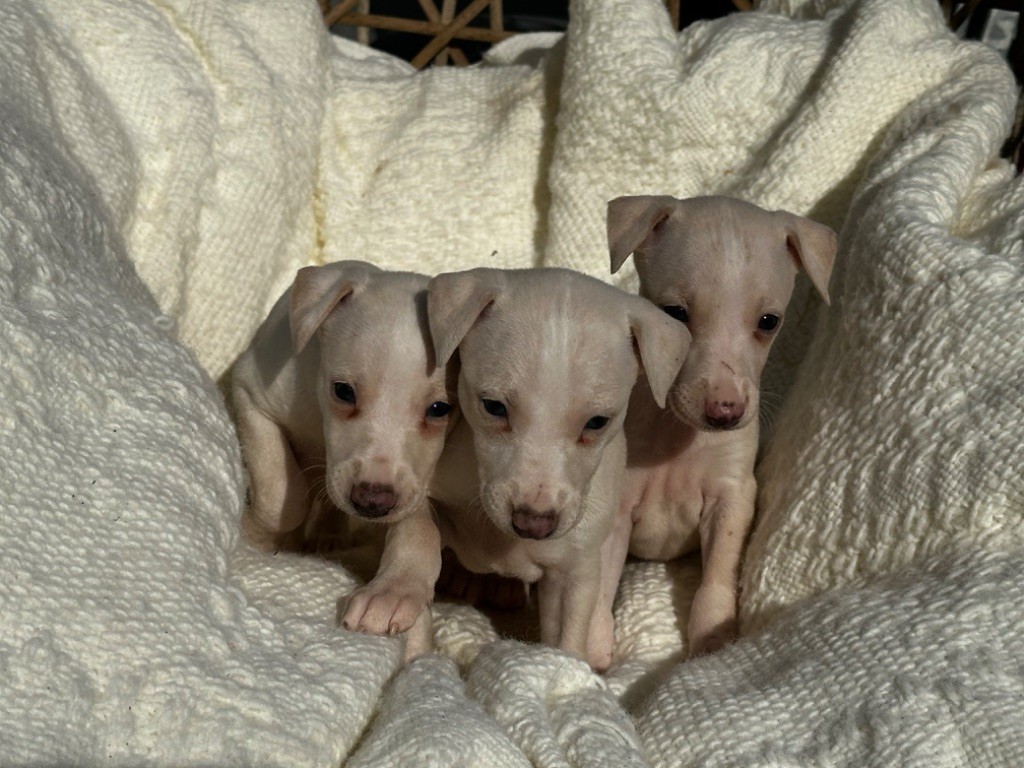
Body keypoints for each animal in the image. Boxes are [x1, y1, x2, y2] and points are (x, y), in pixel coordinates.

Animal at [235, 262, 456, 647]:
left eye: (440, 409)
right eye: (343, 391)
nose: (372, 502)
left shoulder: (414, 485)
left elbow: (418, 528)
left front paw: (393, 592)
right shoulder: (251, 395)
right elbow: (282, 495)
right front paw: (257, 536)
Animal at [602, 195, 835, 659]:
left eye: (769, 321)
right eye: (674, 314)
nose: (725, 411)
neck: (679, 435)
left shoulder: (732, 494)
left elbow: (718, 574)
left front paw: (712, 639)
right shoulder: (617, 506)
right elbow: (596, 585)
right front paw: (582, 649)